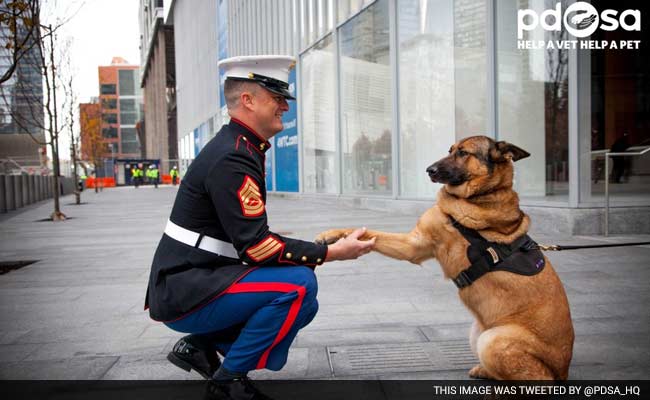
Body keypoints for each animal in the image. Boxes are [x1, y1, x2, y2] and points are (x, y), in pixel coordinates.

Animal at [314, 136, 572, 380]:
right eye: (450, 150)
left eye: (463, 153)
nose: (429, 170)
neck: (479, 196)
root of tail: (564, 370)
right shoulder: (414, 245)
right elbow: (368, 232)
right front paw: (332, 235)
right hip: (477, 334)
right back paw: (482, 371)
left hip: (493, 340)